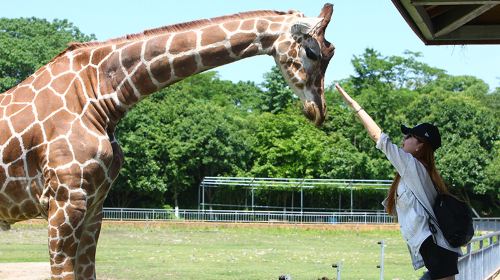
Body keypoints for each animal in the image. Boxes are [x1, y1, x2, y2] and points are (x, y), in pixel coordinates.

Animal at [0, 3, 336, 278]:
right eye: (313, 52)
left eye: (330, 53)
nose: (318, 110)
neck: (100, 97)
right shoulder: (65, 199)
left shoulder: (94, 203)